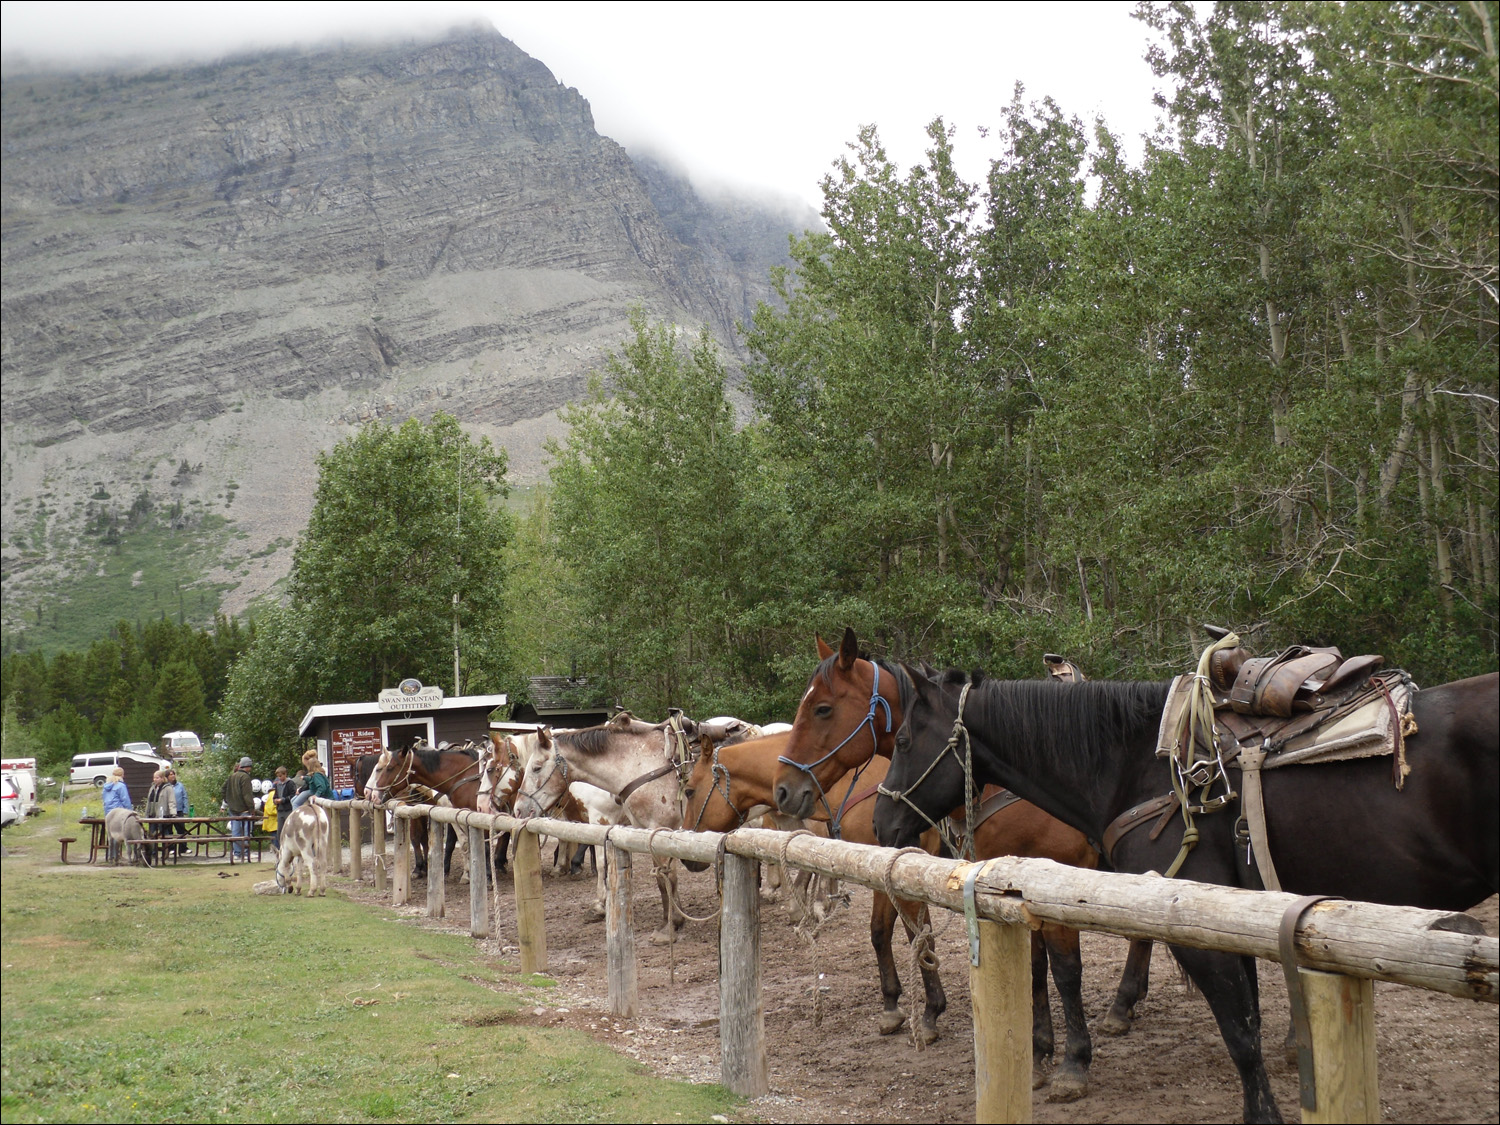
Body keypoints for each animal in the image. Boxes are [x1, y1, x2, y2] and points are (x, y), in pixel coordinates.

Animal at [684, 732, 948, 1050]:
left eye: (688, 791)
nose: (686, 858)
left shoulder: (895, 870)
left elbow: (919, 938)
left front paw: (931, 1013)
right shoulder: (883, 873)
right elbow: (881, 933)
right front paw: (891, 1006)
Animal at [780, 630, 1152, 1104]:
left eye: (823, 708)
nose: (784, 789)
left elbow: (1066, 972)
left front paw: (1073, 1064)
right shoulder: (1007, 891)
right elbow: (1030, 970)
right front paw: (1036, 1055)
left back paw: (1121, 1005)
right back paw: (1125, 1005)